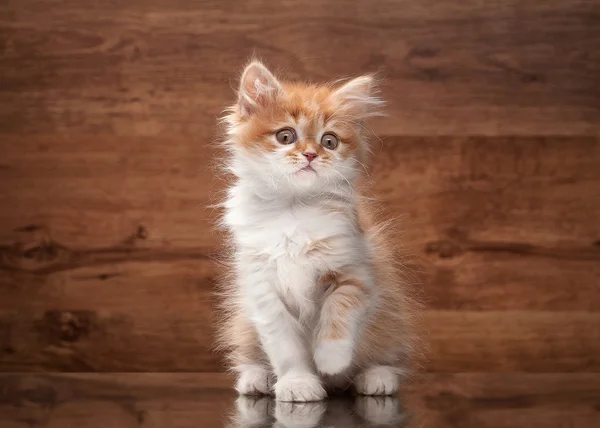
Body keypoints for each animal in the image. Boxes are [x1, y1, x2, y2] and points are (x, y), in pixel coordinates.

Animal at [217, 60, 418, 402]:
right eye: (285, 136)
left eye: (329, 141)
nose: (311, 154)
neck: (293, 210)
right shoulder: (262, 290)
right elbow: (285, 347)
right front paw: (298, 383)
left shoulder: (356, 272)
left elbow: (337, 314)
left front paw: (330, 362)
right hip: (244, 322)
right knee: (251, 356)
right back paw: (256, 379)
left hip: (390, 317)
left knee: (387, 357)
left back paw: (376, 378)